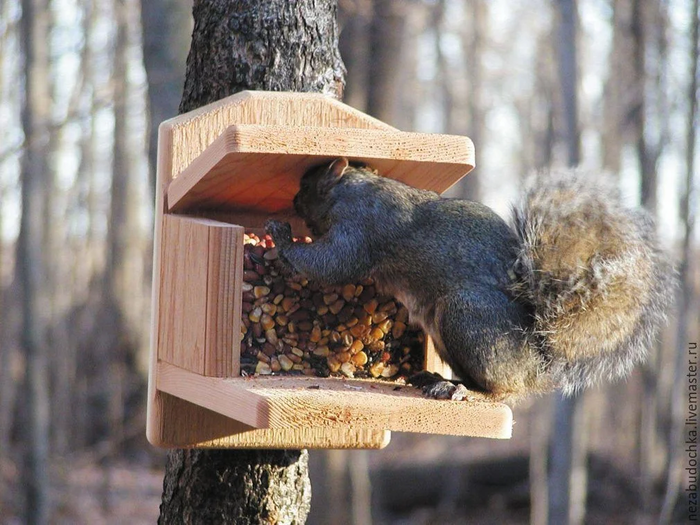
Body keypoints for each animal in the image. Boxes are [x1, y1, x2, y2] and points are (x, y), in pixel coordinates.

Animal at [266, 158, 676, 400]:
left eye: (306, 187)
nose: (292, 203)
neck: (352, 188)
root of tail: (537, 365)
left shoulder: (361, 229)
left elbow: (332, 263)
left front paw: (281, 238)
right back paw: (439, 380)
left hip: (466, 317)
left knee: (501, 392)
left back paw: (464, 391)